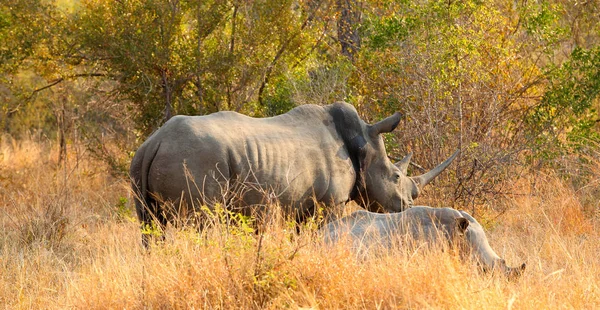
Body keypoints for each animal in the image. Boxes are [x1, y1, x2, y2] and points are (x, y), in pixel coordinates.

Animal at [131, 101, 458, 242]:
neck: (362, 141)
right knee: (202, 223)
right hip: (195, 159)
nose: (408, 205)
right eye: (396, 177)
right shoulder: (330, 203)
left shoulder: (303, 202)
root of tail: (155, 142)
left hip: (140, 165)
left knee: (151, 226)